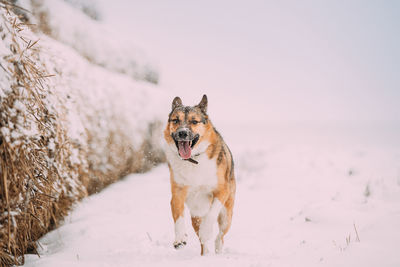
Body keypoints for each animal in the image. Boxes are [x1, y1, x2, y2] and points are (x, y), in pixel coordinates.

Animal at [164, 95, 236, 256]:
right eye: (175, 120)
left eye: (194, 121)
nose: (182, 133)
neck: (194, 160)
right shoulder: (178, 192)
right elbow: (178, 215)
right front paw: (179, 239)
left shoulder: (222, 190)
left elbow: (211, 213)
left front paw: (206, 230)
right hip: (195, 215)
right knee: (203, 242)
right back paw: (205, 254)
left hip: (226, 215)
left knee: (220, 235)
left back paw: (217, 249)